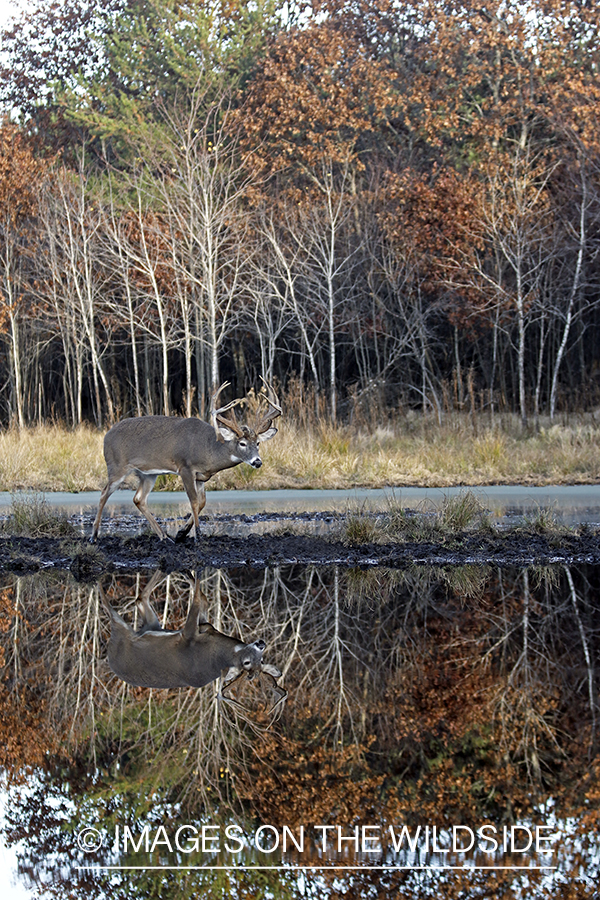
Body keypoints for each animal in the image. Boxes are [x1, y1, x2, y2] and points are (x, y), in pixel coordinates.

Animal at [90, 378, 282, 540]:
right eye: (242, 443)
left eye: (258, 443)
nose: (257, 461)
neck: (208, 449)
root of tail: (106, 436)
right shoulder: (185, 467)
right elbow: (194, 501)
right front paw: (197, 535)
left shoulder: (201, 477)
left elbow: (202, 502)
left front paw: (182, 533)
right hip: (116, 466)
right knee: (103, 493)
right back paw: (94, 535)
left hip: (148, 474)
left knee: (138, 499)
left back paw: (164, 537)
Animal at [101, 576, 286, 704]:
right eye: (251, 662)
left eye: (258, 661)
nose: (261, 643)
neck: (215, 651)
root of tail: (110, 658)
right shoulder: (204, 626)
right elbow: (203, 598)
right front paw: (191, 574)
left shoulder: (188, 636)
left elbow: (197, 598)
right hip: (150, 625)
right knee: (140, 598)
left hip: (123, 634)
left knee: (120, 607)